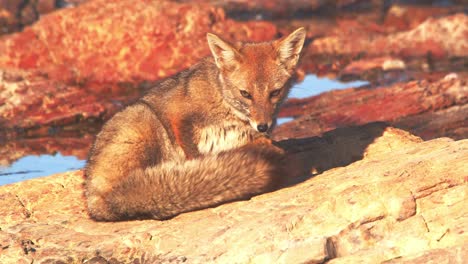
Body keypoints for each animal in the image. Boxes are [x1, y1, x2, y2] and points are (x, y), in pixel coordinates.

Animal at [85, 27, 308, 221]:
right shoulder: (179, 117)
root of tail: (95, 202)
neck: (223, 102)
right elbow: (195, 154)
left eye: (275, 93)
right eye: (245, 94)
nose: (263, 126)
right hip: (146, 119)